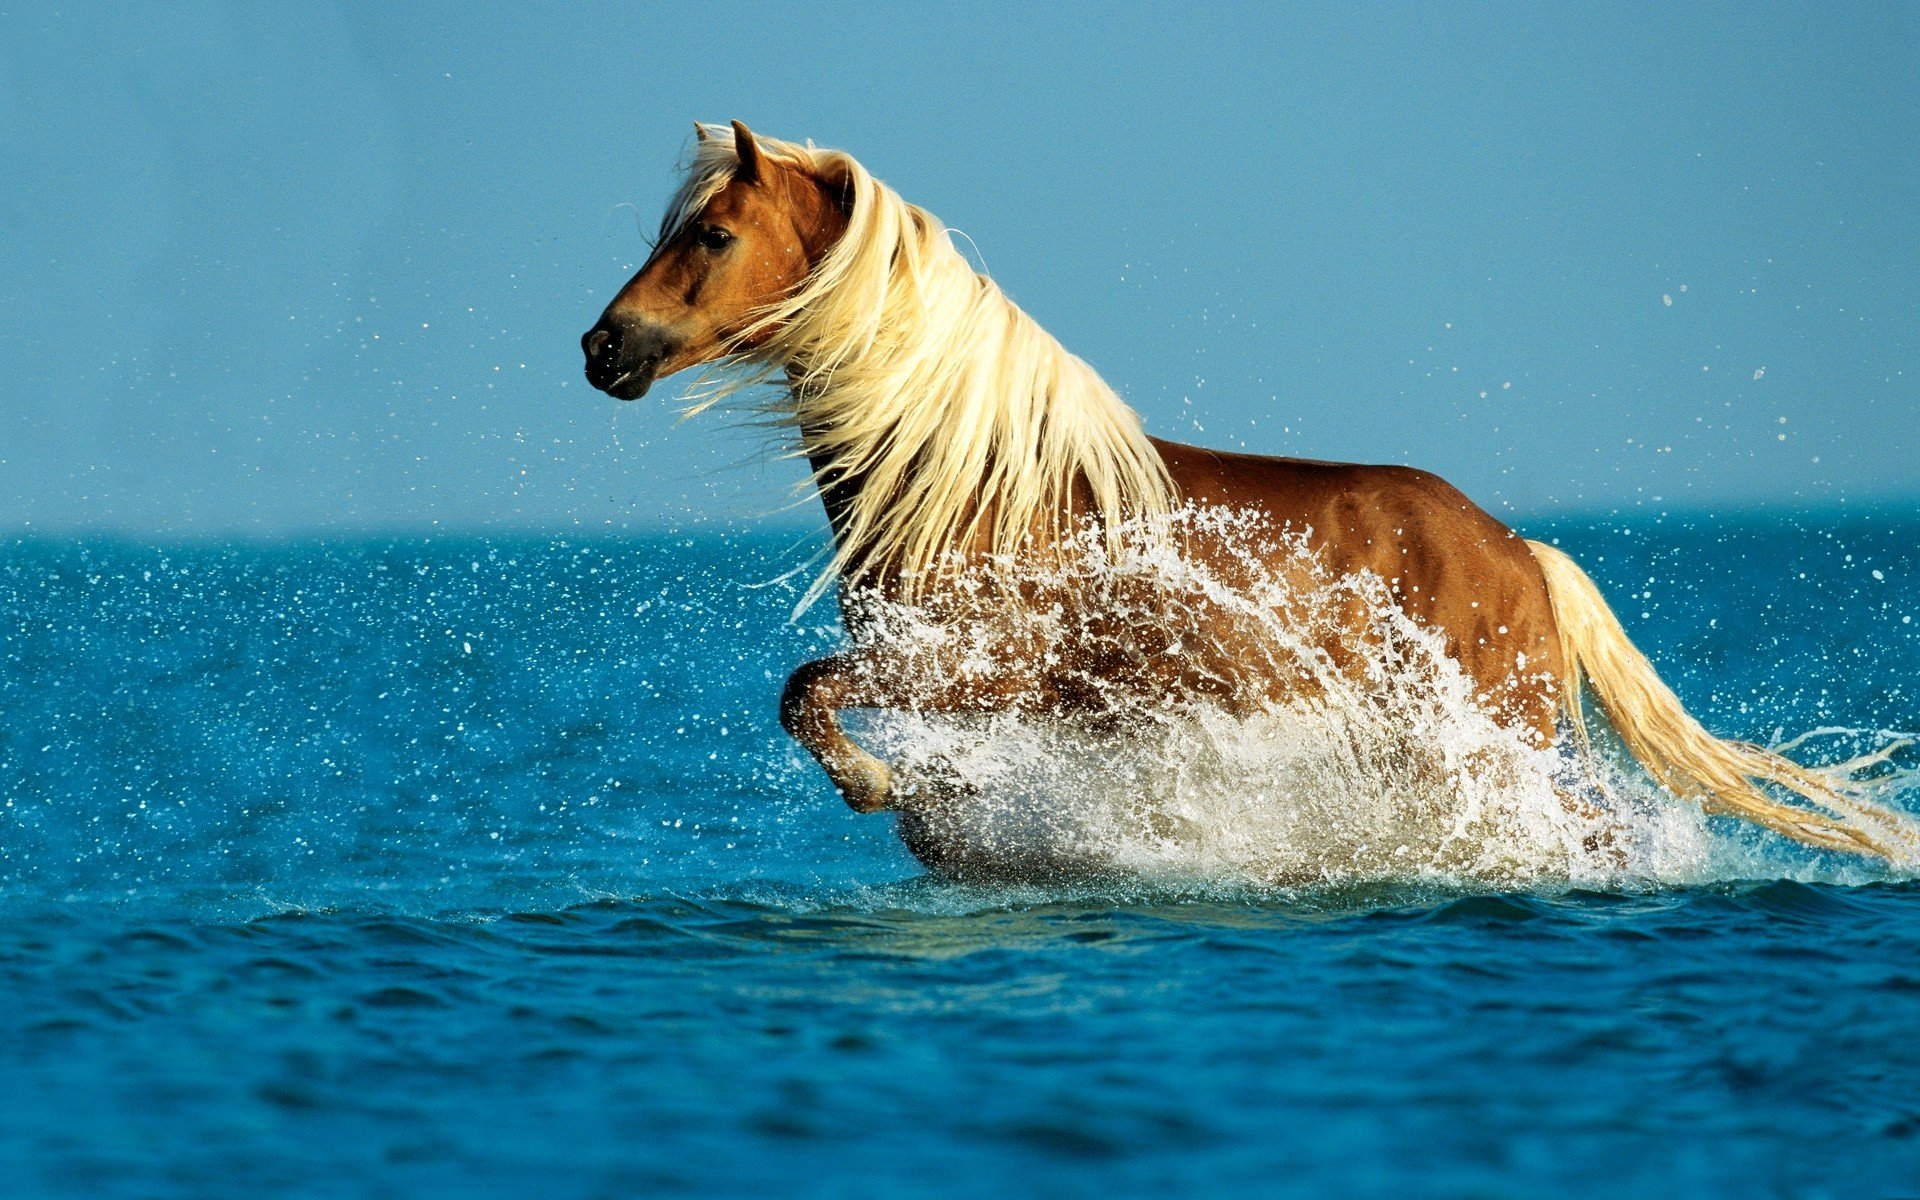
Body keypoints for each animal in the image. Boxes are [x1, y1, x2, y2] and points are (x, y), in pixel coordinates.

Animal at [582, 120, 1912, 866]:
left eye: (711, 235)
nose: (605, 348)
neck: (977, 485)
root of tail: (1523, 553)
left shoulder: (974, 668)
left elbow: (806, 695)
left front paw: (873, 786)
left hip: (1495, 743)